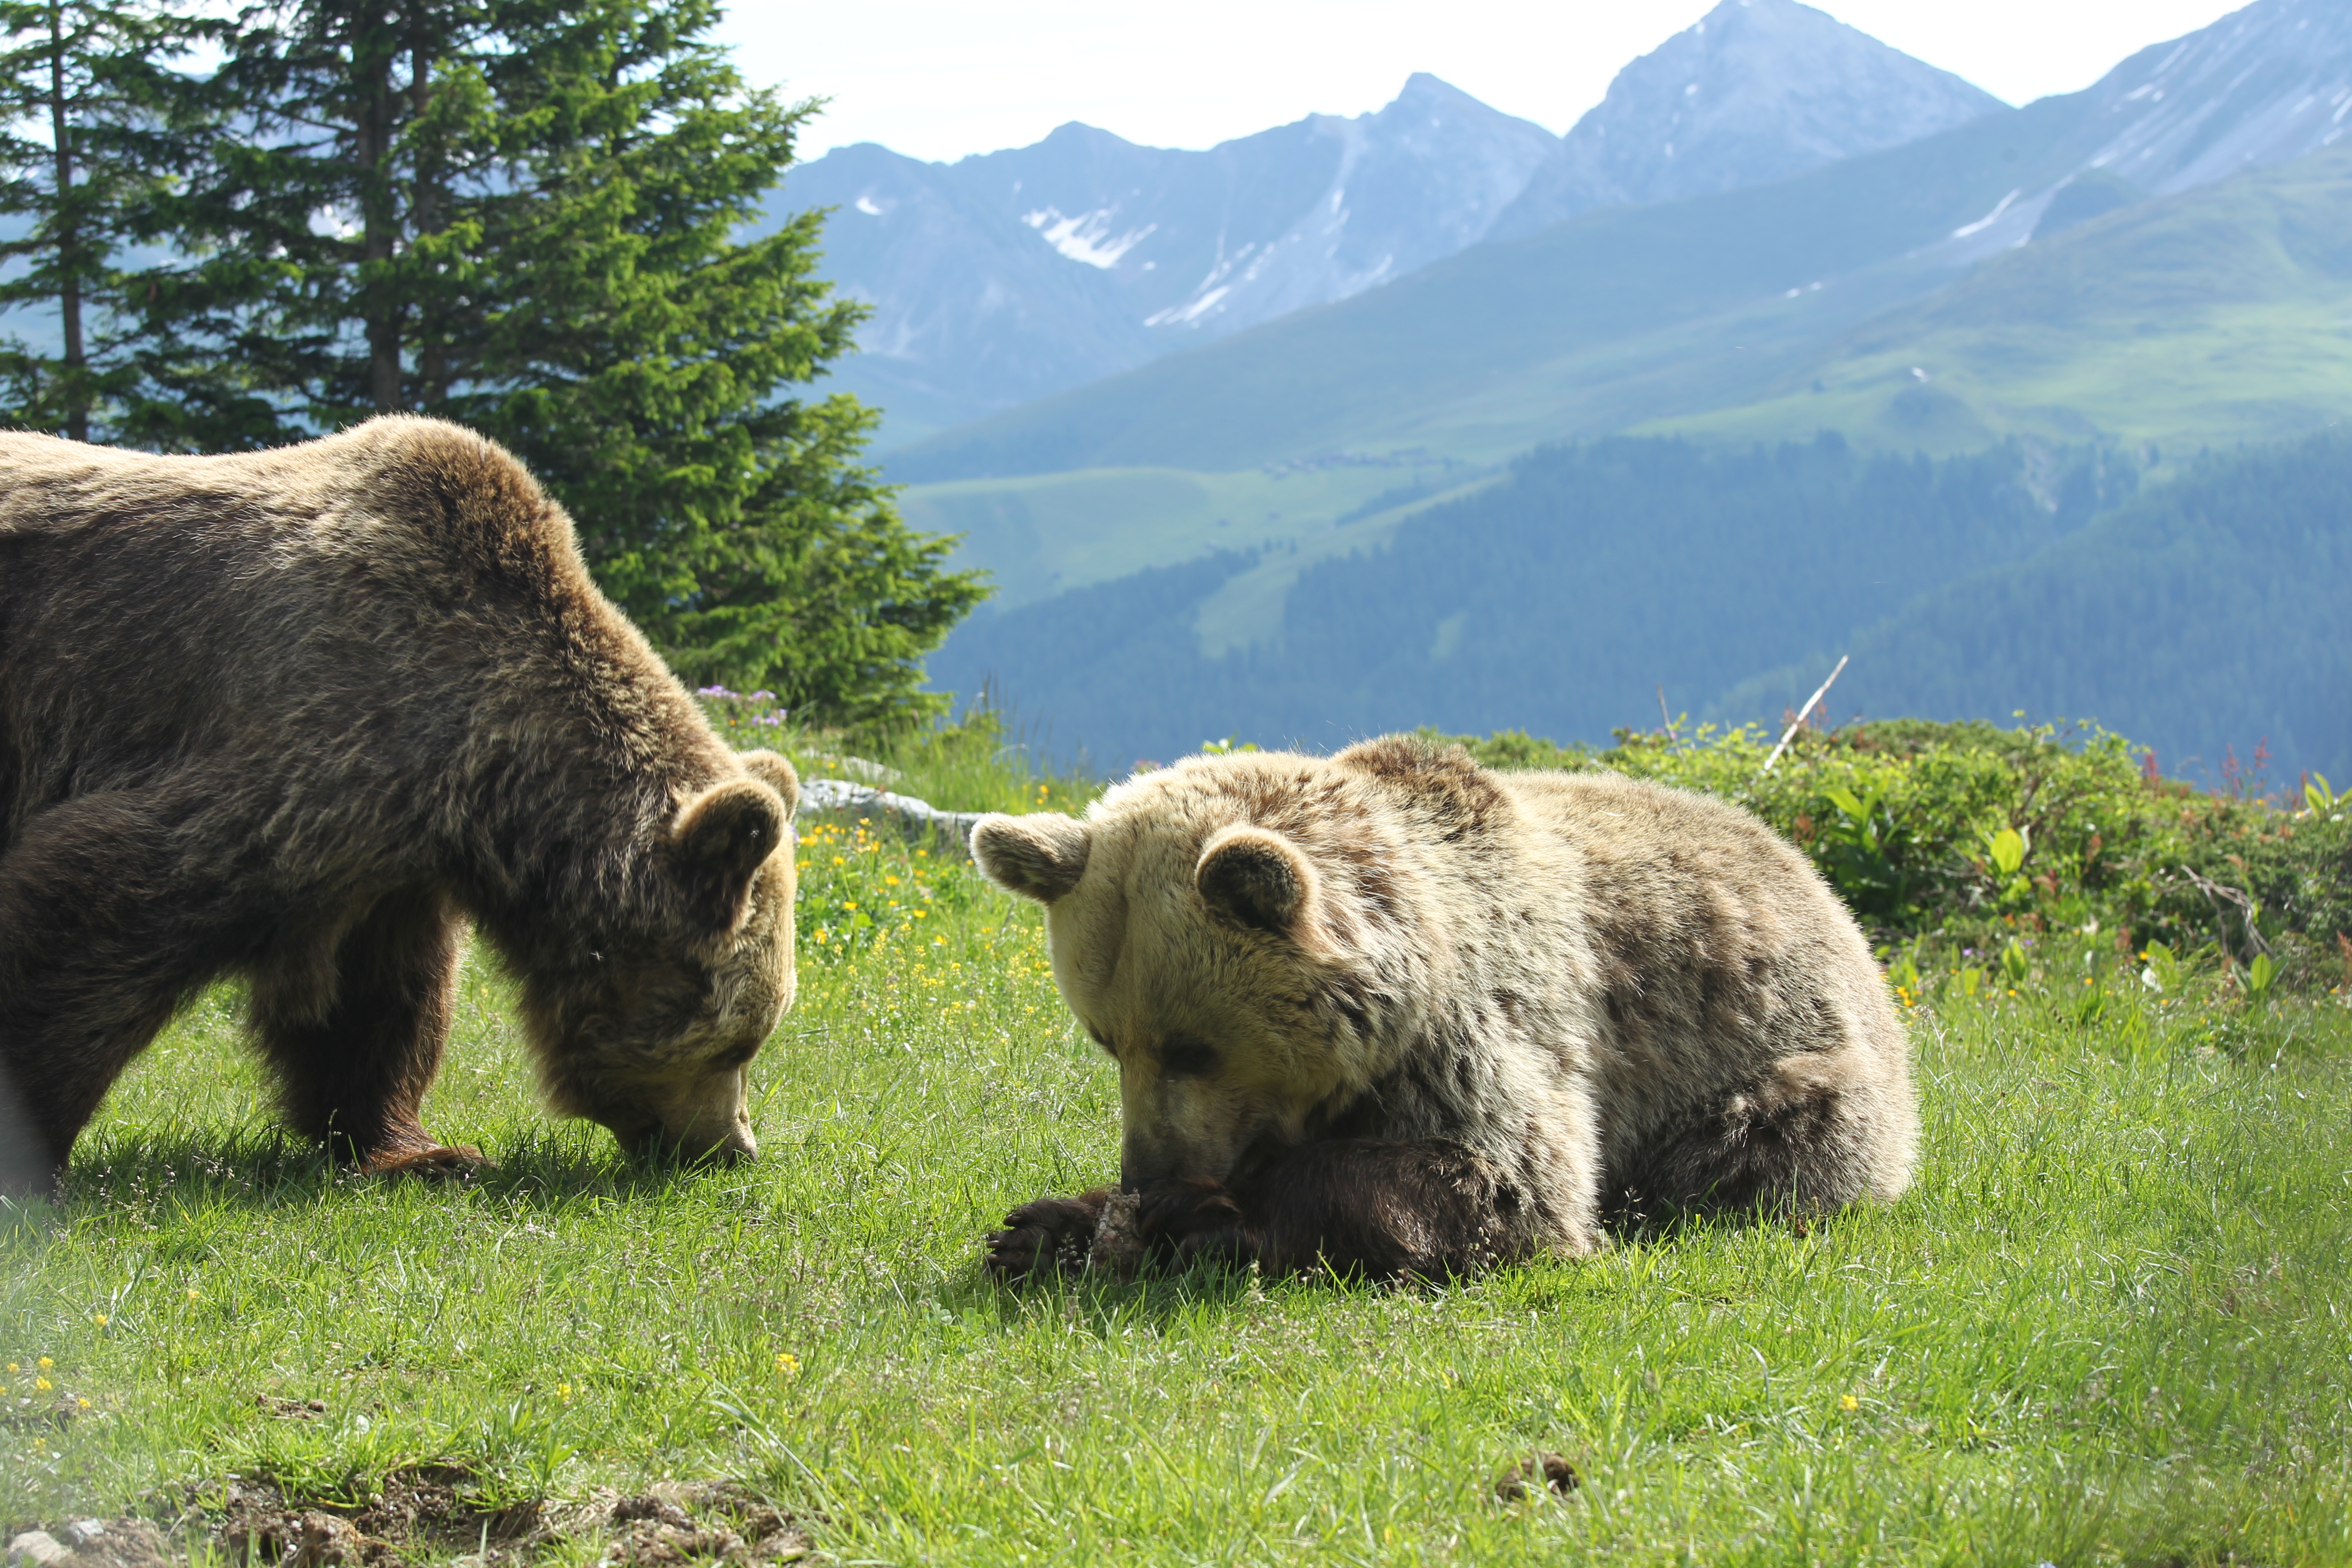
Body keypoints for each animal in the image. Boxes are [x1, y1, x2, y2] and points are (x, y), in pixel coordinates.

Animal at [0, 411, 799, 1194]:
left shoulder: (384, 859)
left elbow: (380, 1002)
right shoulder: (310, 740)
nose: (733, 1148)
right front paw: (31, 1151)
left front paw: (420, 1151)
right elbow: (98, 916)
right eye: (740, 1043)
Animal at [969, 743, 1910, 1279]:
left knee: (1761, 1138)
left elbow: (1506, 1183)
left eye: (1193, 1047)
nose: (1146, 1172)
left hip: (1788, 1068)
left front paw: (1207, 1219)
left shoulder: (1484, 1025)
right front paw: (1044, 1227)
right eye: (1106, 1040)